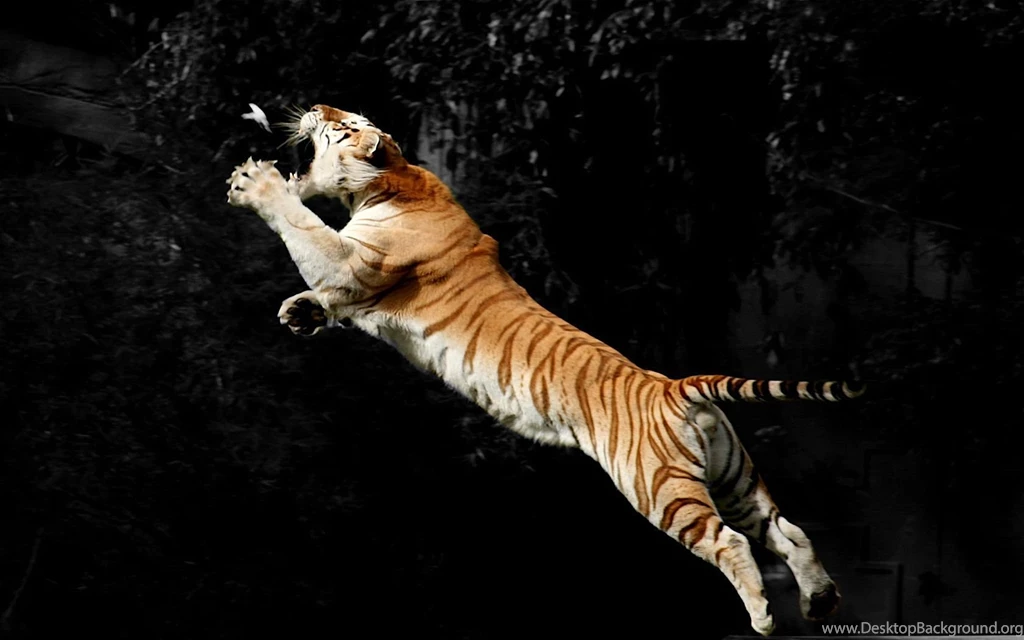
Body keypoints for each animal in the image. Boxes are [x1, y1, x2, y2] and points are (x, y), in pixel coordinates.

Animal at [226, 103, 865, 636]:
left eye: (343, 121)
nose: (316, 104)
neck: (387, 182)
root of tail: (673, 385)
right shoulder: (350, 280)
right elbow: (320, 285)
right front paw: (298, 312)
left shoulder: (353, 263)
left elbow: (304, 227)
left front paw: (255, 184)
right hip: (734, 476)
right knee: (789, 530)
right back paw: (821, 602)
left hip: (660, 486)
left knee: (731, 544)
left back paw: (764, 617)